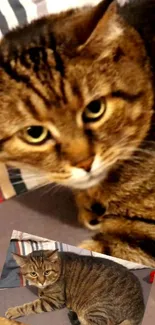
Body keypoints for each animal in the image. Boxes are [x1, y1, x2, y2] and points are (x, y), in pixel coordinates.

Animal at [5, 248, 145, 324]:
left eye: (47, 272)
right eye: (33, 274)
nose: (41, 282)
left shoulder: (53, 301)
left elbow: (29, 306)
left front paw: (13, 311)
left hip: (98, 309)